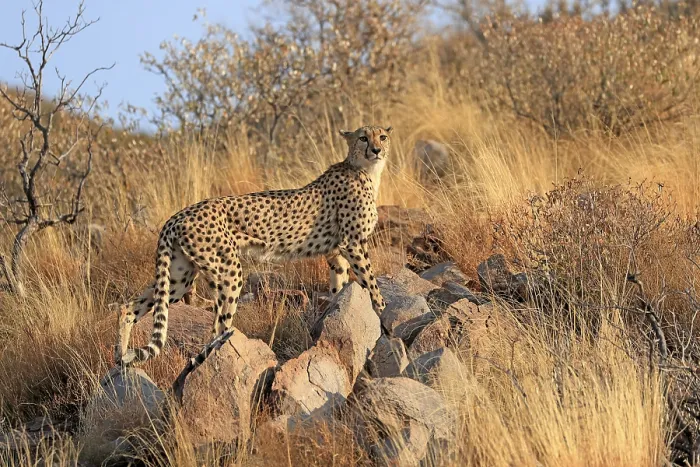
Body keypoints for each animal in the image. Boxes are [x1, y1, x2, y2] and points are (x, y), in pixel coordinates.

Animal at [116, 125, 393, 366]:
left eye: (382, 137)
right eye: (363, 138)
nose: (377, 150)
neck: (365, 170)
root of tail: (176, 216)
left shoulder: (337, 254)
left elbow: (339, 288)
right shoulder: (353, 244)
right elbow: (372, 284)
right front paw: (383, 315)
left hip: (178, 276)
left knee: (130, 306)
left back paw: (121, 358)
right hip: (228, 272)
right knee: (218, 325)